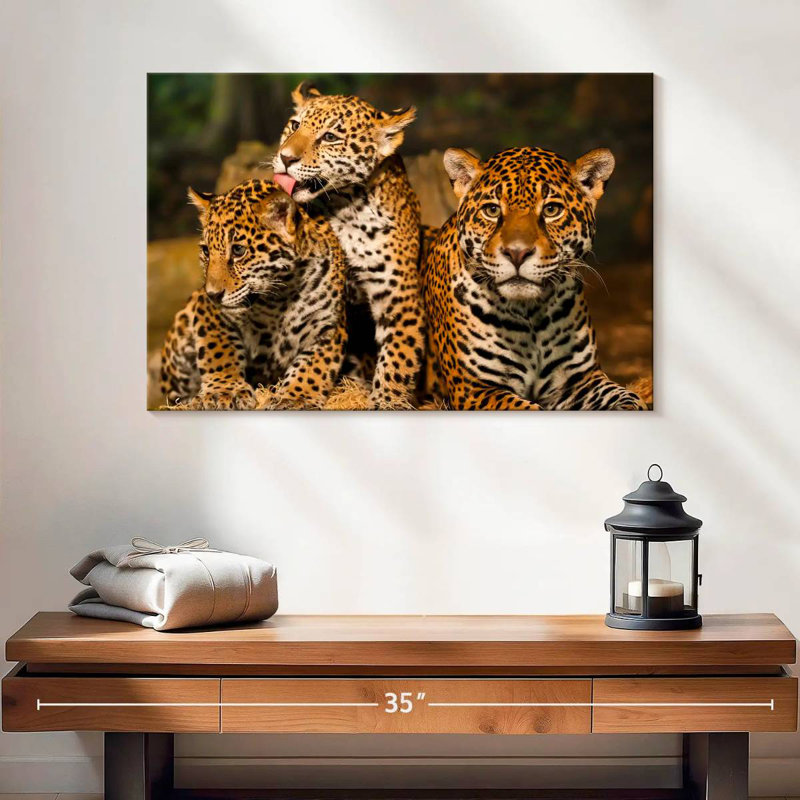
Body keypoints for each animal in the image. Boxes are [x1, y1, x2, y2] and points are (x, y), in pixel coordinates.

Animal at [160, 179, 347, 410]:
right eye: (206, 251)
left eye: (238, 250)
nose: (213, 294)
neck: (280, 296)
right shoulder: (208, 312)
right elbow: (219, 350)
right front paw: (223, 391)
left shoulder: (328, 326)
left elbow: (314, 367)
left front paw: (296, 397)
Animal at [272, 82, 424, 409]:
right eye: (294, 125)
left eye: (330, 137)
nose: (285, 158)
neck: (346, 208)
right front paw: (294, 395)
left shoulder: (400, 297)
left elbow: (399, 356)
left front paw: (387, 400)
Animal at [421, 146, 647, 410]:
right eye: (492, 210)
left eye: (551, 210)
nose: (517, 253)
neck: (530, 315)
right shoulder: (474, 389)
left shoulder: (580, 380)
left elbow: (628, 398)